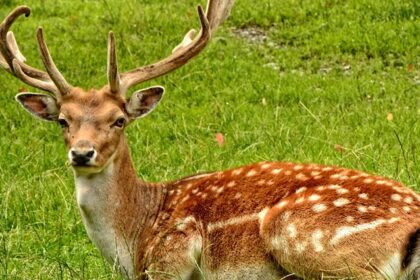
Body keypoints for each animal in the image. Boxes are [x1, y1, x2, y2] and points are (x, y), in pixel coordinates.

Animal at [0, 2, 420, 280]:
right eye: (63, 121)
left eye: (118, 120)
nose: (82, 153)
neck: (134, 238)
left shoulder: (172, 256)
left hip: (303, 236)